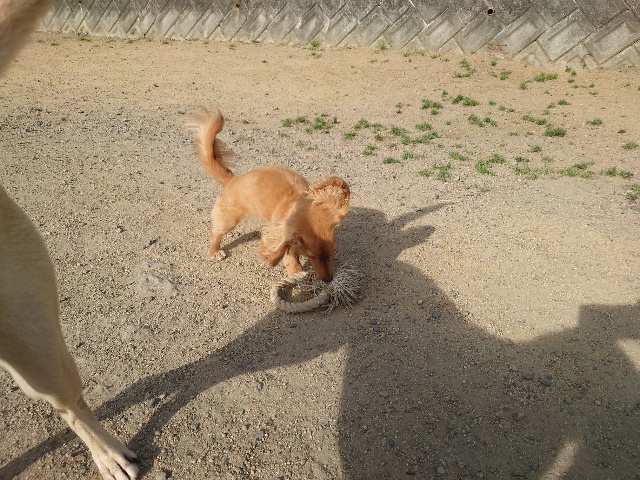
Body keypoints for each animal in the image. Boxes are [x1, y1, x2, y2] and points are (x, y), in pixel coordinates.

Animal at [186, 107, 350, 282]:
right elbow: (290, 257)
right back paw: (214, 252)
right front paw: (296, 273)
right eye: (312, 256)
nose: (328, 279)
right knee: (215, 231)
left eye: (332, 251)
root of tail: (233, 179)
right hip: (228, 219)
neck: (297, 202)